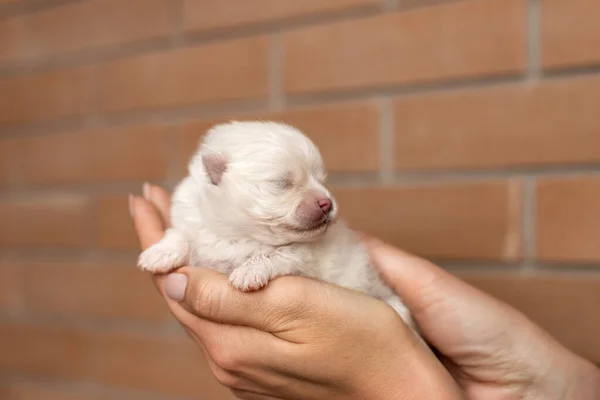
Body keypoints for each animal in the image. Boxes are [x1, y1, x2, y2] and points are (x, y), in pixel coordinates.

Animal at [138, 121, 414, 332]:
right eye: (283, 183)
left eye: (321, 179)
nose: (327, 203)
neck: (238, 234)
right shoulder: (193, 218)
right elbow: (181, 234)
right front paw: (158, 253)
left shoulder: (302, 254)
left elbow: (274, 254)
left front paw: (249, 271)